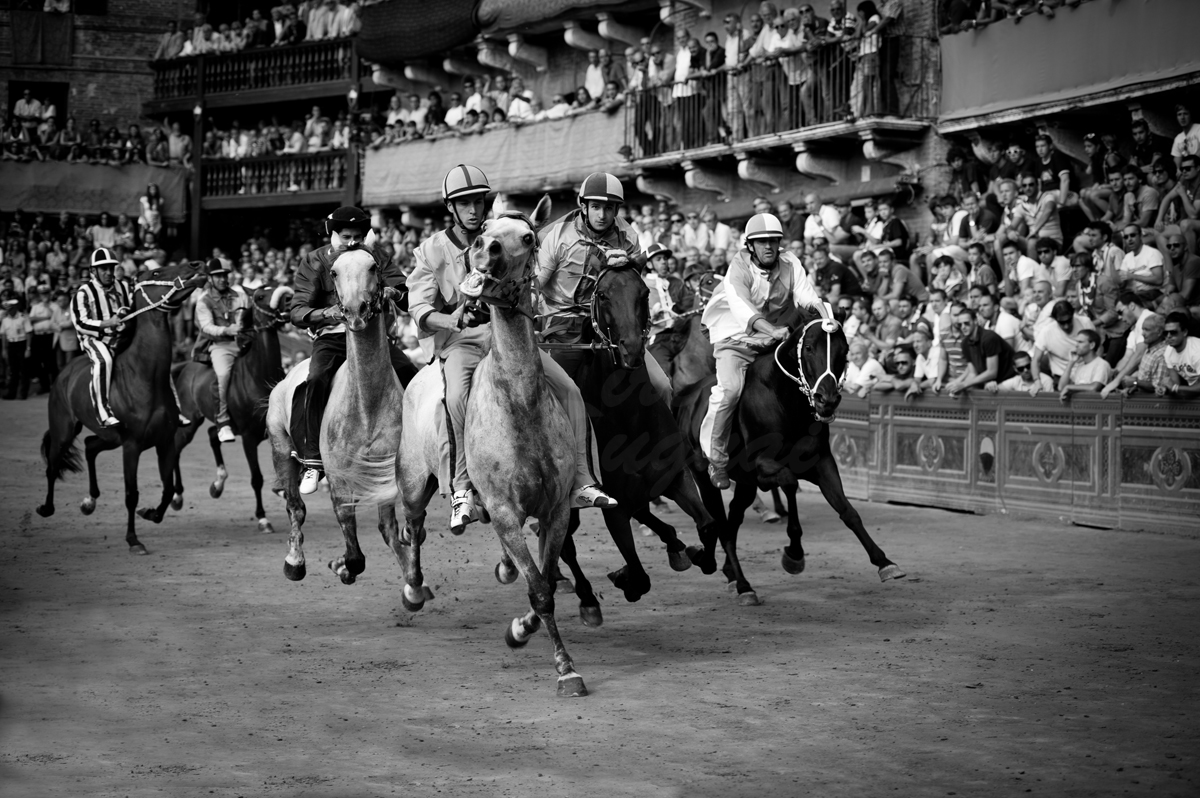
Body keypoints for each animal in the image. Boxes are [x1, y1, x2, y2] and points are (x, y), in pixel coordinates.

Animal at [36, 261, 210, 554]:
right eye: (155, 272)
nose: (197, 265)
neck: (145, 376)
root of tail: (65, 373)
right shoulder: (132, 445)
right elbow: (131, 494)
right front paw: (133, 539)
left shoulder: (164, 442)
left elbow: (167, 488)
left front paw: (151, 513)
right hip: (64, 429)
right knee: (53, 464)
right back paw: (47, 508)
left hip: (109, 437)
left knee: (91, 446)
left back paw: (90, 501)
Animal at [172, 283, 294, 532]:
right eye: (260, 295)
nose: (288, 298)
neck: (259, 376)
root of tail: (185, 366)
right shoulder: (248, 437)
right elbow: (256, 478)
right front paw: (263, 518)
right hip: (191, 421)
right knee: (177, 446)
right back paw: (177, 497)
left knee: (212, 434)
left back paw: (217, 484)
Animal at [453, 200, 590, 696]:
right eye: (488, 227)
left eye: (528, 237)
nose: (483, 247)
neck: (519, 402)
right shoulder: (506, 511)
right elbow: (539, 587)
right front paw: (563, 665)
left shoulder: (556, 510)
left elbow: (545, 580)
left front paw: (532, 633)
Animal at [544, 264, 720, 600]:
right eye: (602, 294)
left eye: (644, 293)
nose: (631, 350)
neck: (630, 418)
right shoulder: (614, 507)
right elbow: (639, 577)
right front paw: (623, 576)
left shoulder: (676, 476)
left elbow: (707, 525)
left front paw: (694, 553)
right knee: (564, 543)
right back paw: (578, 593)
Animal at [672, 302, 902, 600]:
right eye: (810, 348)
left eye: (845, 350)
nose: (827, 399)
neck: (784, 401)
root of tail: (687, 396)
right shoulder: (763, 464)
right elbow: (790, 483)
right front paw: (794, 553)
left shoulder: (821, 461)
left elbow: (847, 510)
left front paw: (884, 561)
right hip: (705, 475)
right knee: (718, 522)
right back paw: (736, 580)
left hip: (745, 483)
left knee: (732, 521)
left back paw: (727, 571)